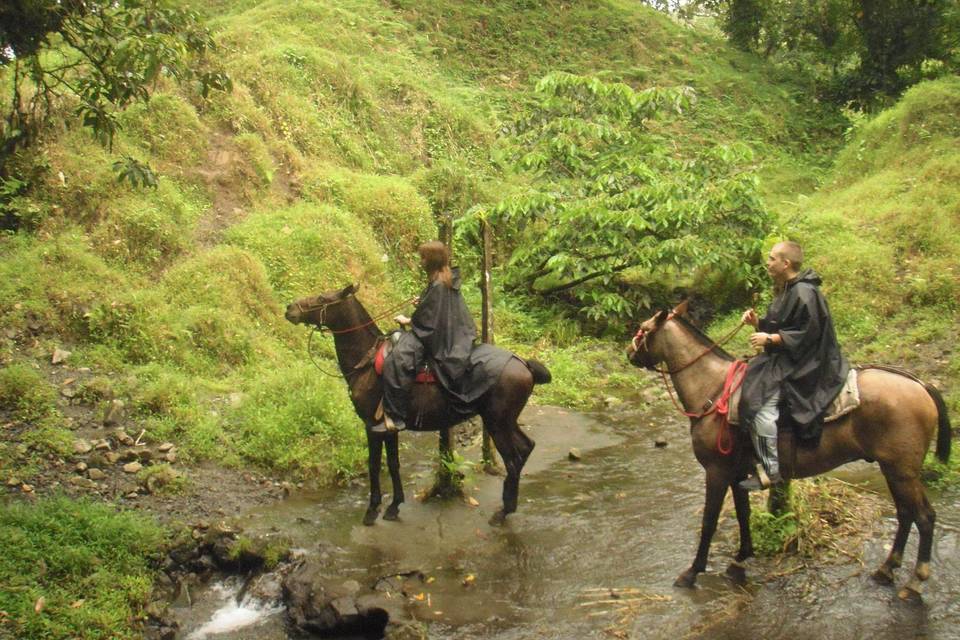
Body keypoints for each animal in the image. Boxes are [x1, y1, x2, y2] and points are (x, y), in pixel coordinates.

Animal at [284, 284, 552, 524]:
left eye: (322, 297)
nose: (290, 308)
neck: (366, 362)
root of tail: (523, 363)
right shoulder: (389, 427)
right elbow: (393, 464)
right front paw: (393, 507)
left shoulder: (372, 425)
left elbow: (374, 466)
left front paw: (372, 511)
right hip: (507, 421)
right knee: (526, 447)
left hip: (497, 422)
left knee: (513, 459)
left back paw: (503, 512)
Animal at [628, 302, 948, 596]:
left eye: (643, 328)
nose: (629, 354)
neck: (715, 390)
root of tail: (921, 384)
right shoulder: (737, 472)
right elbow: (743, 514)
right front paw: (741, 559)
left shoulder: (716, 471)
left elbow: (709, 521)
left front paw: (692, 572)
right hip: (895, 470)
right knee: (906, 514)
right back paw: (886, 569)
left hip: (901, 471)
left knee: (923, 517)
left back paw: (915, 580)